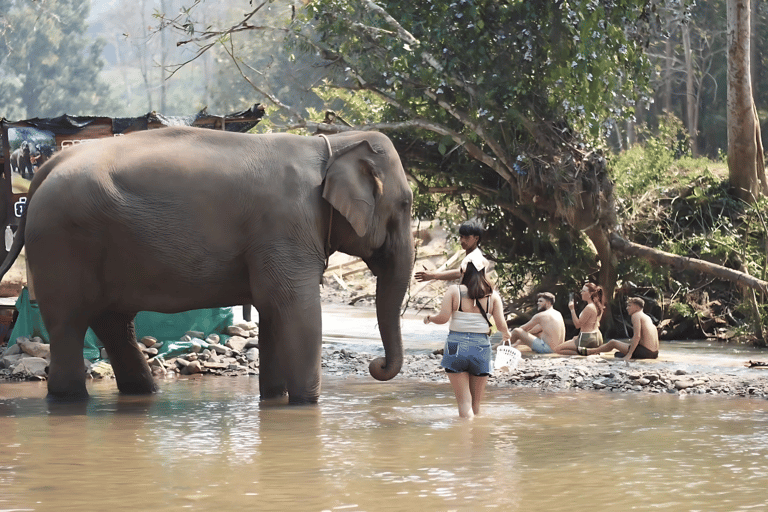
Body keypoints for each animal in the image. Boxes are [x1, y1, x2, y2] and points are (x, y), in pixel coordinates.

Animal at [0, 127, 415, 403]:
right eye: (407, 203)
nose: (377, 366)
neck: (330, 143)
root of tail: (49, 167)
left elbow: (273, 311)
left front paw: (274, 400)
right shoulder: (286, 226)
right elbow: (295, 308)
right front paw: (305, 405)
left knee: (112, 321)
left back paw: (142, 394)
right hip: (63, 241)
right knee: (70, 322)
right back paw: (70, 401)